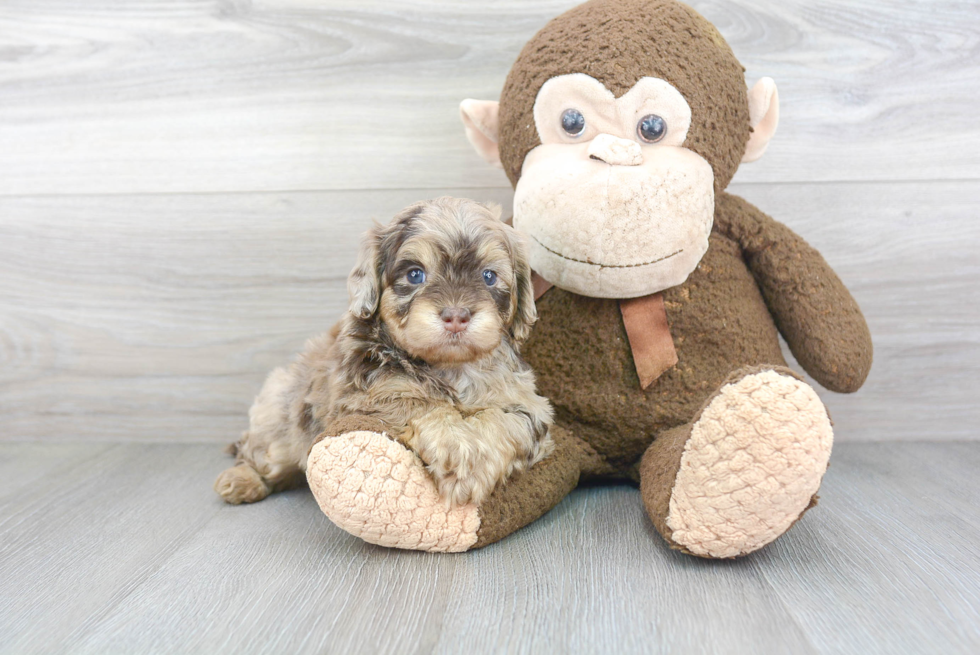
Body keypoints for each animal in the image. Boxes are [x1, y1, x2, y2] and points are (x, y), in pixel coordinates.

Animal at [213, 199, 552, 508]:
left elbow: (503, 420)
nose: (456, 315)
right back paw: (240, 480)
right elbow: (421, 403)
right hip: (280, 419)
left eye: (488, 276)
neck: (450, 367)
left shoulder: (530, 405)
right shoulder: (363, 397)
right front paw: (456, 445)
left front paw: (474, 466)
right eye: (415, 275)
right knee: (259, 453)